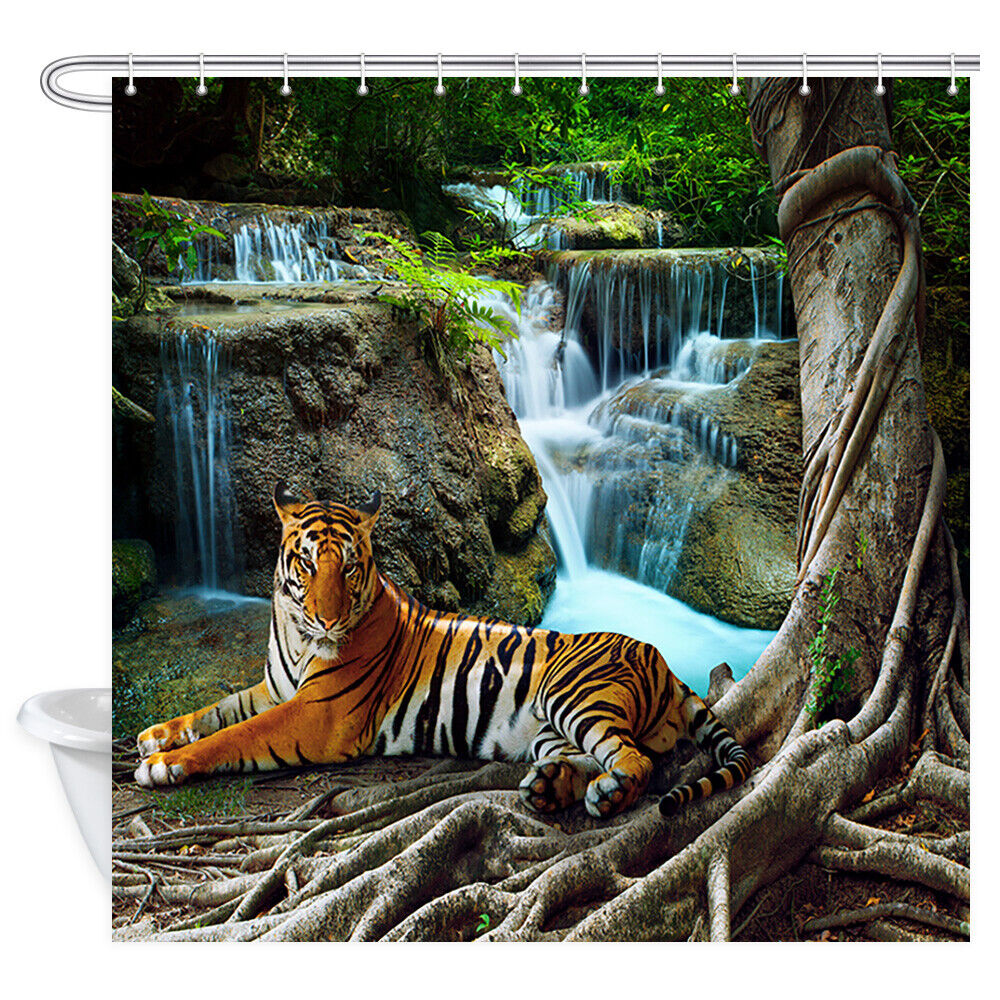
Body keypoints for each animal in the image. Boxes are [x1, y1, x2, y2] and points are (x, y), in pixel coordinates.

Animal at [135, 483, 753, 819]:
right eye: (307, 562)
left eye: (349, 566)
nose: (327, 618)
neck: (294, 631)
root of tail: (664, 662)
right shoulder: (275, 688)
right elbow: (218, 711)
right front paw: (157, 736)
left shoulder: (317, 715)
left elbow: (235, 735)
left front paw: (164, 765)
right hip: (550, 728)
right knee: (596, 756)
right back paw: (551, 787)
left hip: (575, 696)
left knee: (637, 760)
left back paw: (607, 794)